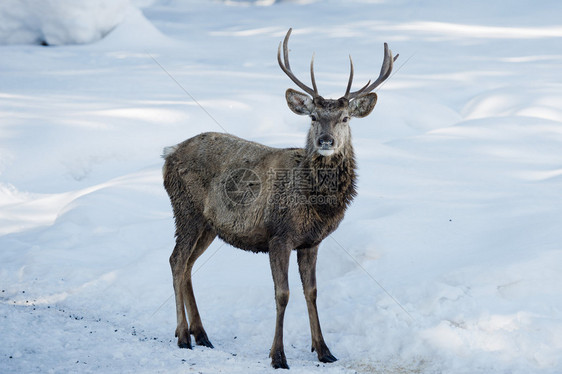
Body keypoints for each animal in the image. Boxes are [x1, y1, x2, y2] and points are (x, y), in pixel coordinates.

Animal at [161, 28, 398, 368]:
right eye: (313, 117)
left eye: (345, 118)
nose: (326, 141)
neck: (311, 201)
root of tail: (168, 154)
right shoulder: (279, 235)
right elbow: (282, 293)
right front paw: (278, 355)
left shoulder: (311, 241)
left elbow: (312, 291)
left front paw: (324, 350)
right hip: (185, 210)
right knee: (176, 261)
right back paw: (182, 336)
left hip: (208, 225)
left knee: (189, 265)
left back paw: (202, 334)